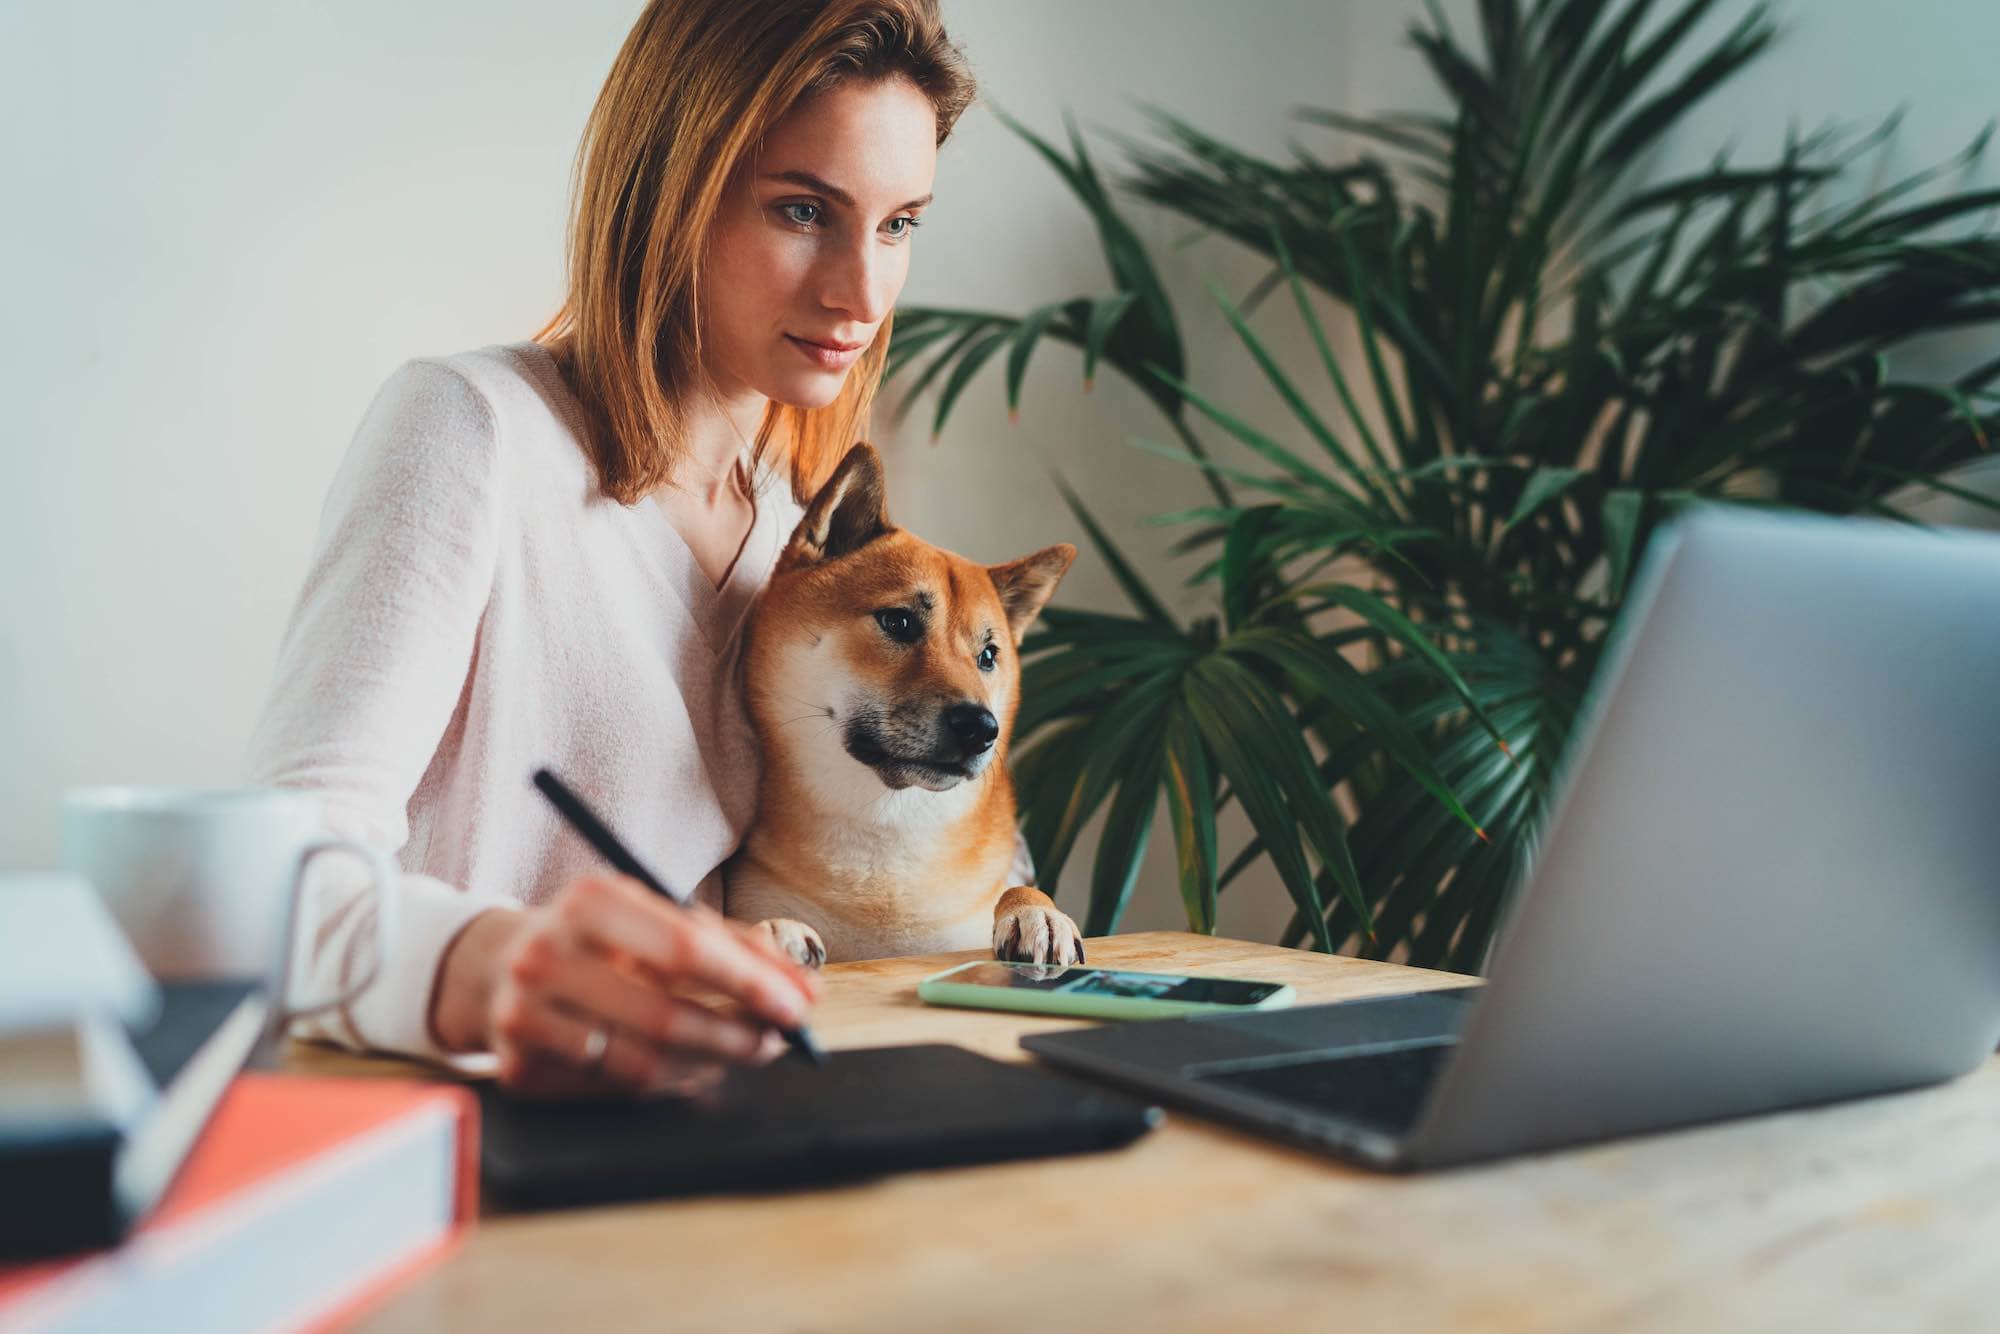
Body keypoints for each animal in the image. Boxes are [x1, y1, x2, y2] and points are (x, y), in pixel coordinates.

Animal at [728, 448, 1088, 972]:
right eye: (898, 622)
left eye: (988, 656)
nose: (981, 727)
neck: (889, 834)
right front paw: (773, 934)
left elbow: (1017, 889)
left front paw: (1038, 913)